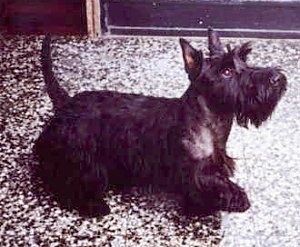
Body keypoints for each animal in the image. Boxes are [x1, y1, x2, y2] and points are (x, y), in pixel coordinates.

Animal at [34, 29, 288, 217]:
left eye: (244, 59)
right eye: (226, 72)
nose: (277, 78)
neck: (210, 119)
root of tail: (66, 103)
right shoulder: (197, 172)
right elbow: (214, 184)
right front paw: (234, 197)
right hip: (80, 161)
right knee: (68, 185)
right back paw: (94, 206)